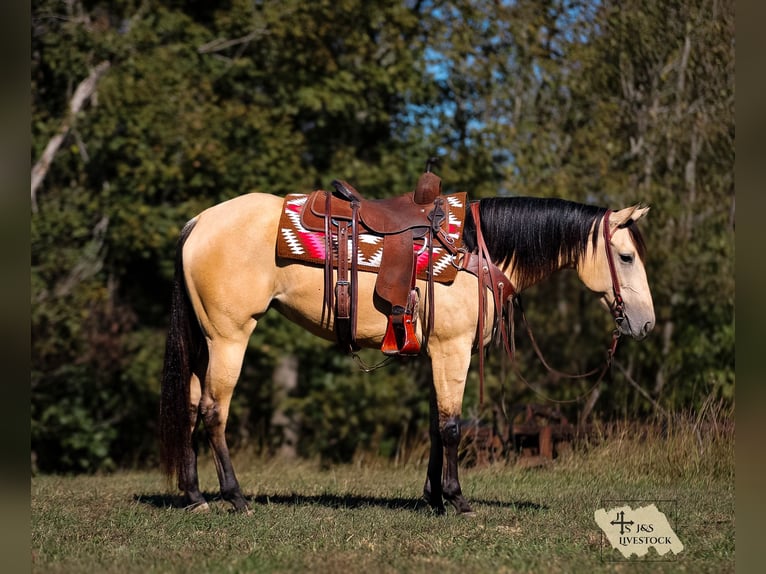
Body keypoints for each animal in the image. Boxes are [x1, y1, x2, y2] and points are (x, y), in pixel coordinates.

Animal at [159, 192, 654, 515]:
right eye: (626, 257)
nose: (646, 323)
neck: (476, 254)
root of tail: (199, 222)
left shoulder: (437, 354)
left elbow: (436, 426)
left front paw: (433, 496)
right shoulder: (453, 351)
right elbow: (452, 427)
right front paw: (457, 499)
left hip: (205, 341)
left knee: (190, 406)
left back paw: (195, 497)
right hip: (229, 337)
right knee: (214, 411)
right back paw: (235, 497)